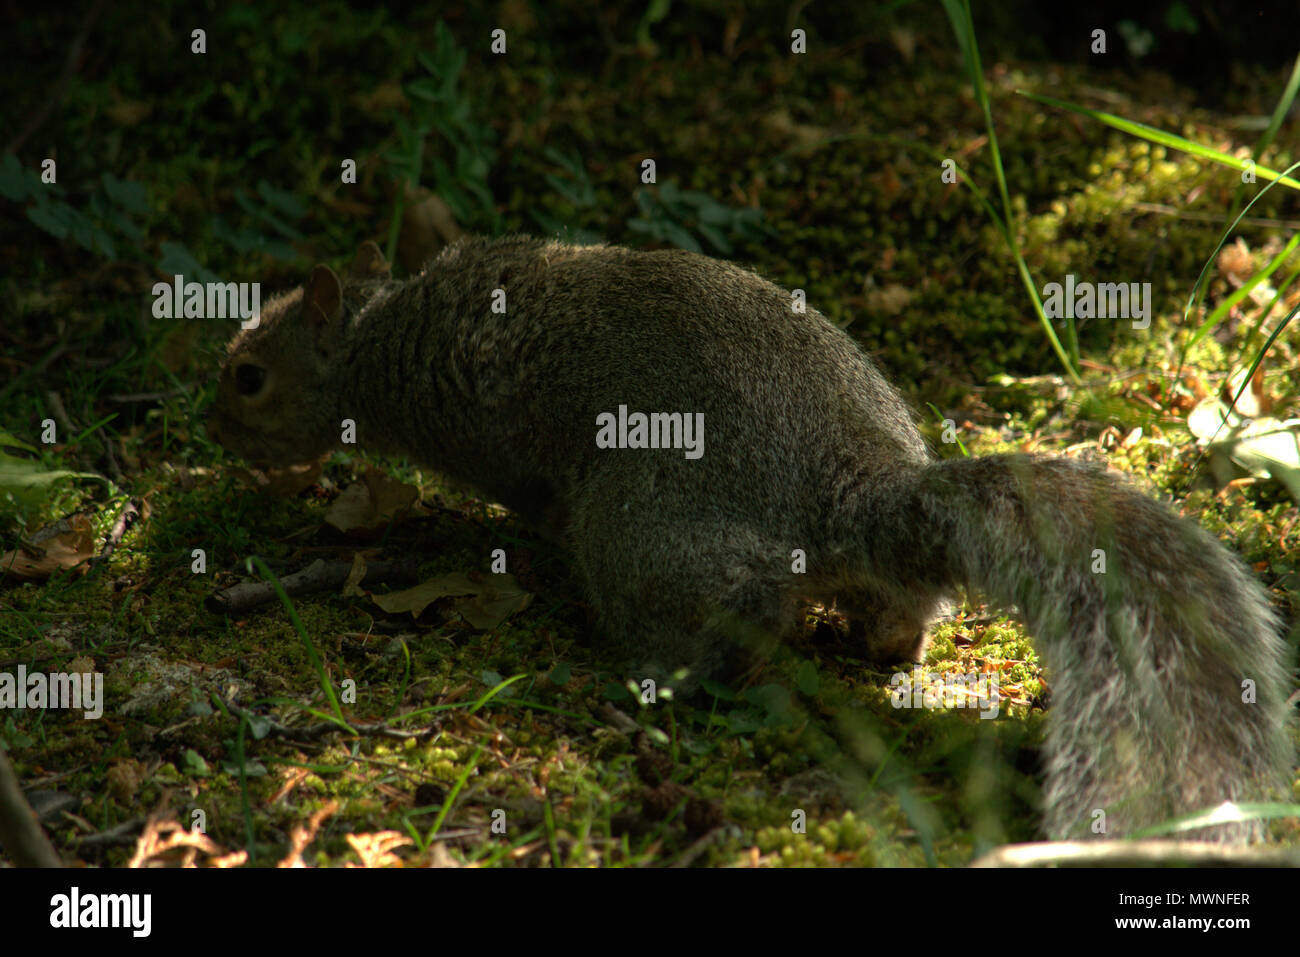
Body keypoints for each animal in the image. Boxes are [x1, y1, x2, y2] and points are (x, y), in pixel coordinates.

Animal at [210, 235, 1294, 842]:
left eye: (249, 375)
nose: (212, 432)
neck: (379, 335)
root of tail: (850, 488)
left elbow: (523, 497)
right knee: (895, 607)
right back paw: (881, 638)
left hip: (643, 535)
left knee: (743, 608)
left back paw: (665, 674)